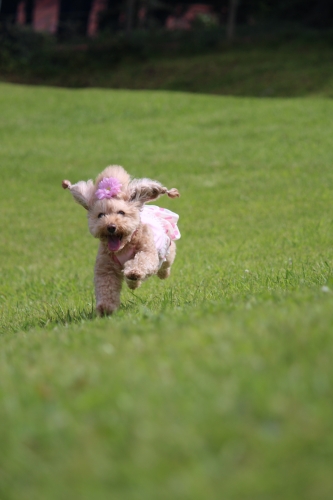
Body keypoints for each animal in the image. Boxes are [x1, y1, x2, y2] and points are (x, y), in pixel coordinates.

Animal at [62, 167, 182, 316]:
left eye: (121, 212)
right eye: (101, 215)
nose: (111, 226)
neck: (123, 247)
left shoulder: (147, 251)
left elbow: (142, 260)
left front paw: (134, 272)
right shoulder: (106, 268)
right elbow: (106, 286)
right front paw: (106, 308)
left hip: (166, 249)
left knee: (166, 262)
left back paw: (161, 274)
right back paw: (134, 283)